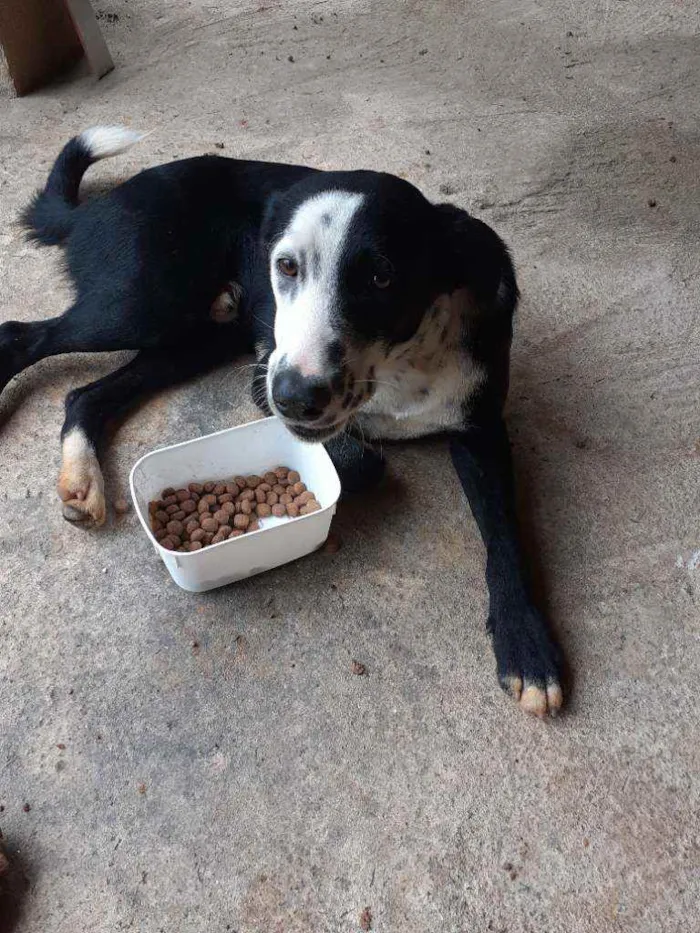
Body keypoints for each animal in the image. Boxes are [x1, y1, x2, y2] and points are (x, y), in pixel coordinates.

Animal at [1, 127, 564, 716]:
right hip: (142, 303)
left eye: (382, 277)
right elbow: (366, 463)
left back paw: (83, 480)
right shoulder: (264, 377)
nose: (295, 398)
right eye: (287, 266)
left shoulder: (482, 431)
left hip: (194, 335)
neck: (402, 365)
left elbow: (505, 536)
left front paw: (526, 644)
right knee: (19, 336)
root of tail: (102, 203)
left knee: (85, 396)